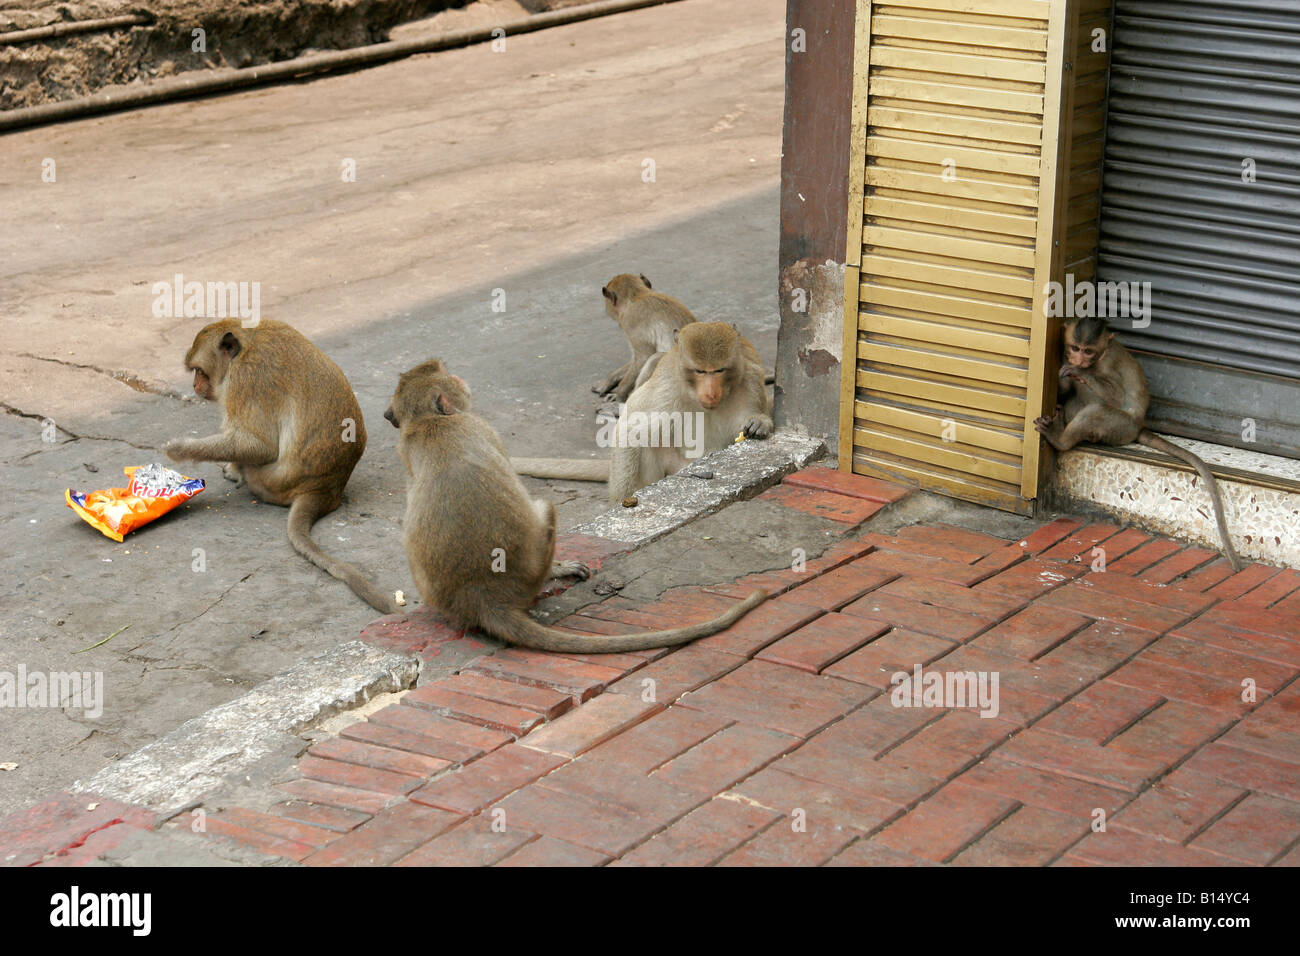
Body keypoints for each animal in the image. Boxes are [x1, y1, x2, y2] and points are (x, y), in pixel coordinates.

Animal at [162, 316, 395, 613]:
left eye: (199, 371)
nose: (194, 386)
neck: (246, 344)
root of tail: (326, 489)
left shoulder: (244, 381)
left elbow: (263, 445)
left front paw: (179, 449)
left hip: (269, 482)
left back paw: (238, 472)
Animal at [595, 273, 702, 403]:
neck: (637, 296)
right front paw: (608, 381)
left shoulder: (630, 322)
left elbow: (643, 357)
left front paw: (619, 394)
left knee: (655, 358)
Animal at [1034, 314, 1237, 572]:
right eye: (1075, 348)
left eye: (1088, 351)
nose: (1078, 360)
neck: (1098, 358)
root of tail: (1139, 427)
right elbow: (1065, 387)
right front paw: (1068, 375)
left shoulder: (1108, 362)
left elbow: (1115, 396)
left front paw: (1080, 372)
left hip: (1121, 427)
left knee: (1098, 410)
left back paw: (1060, 439)